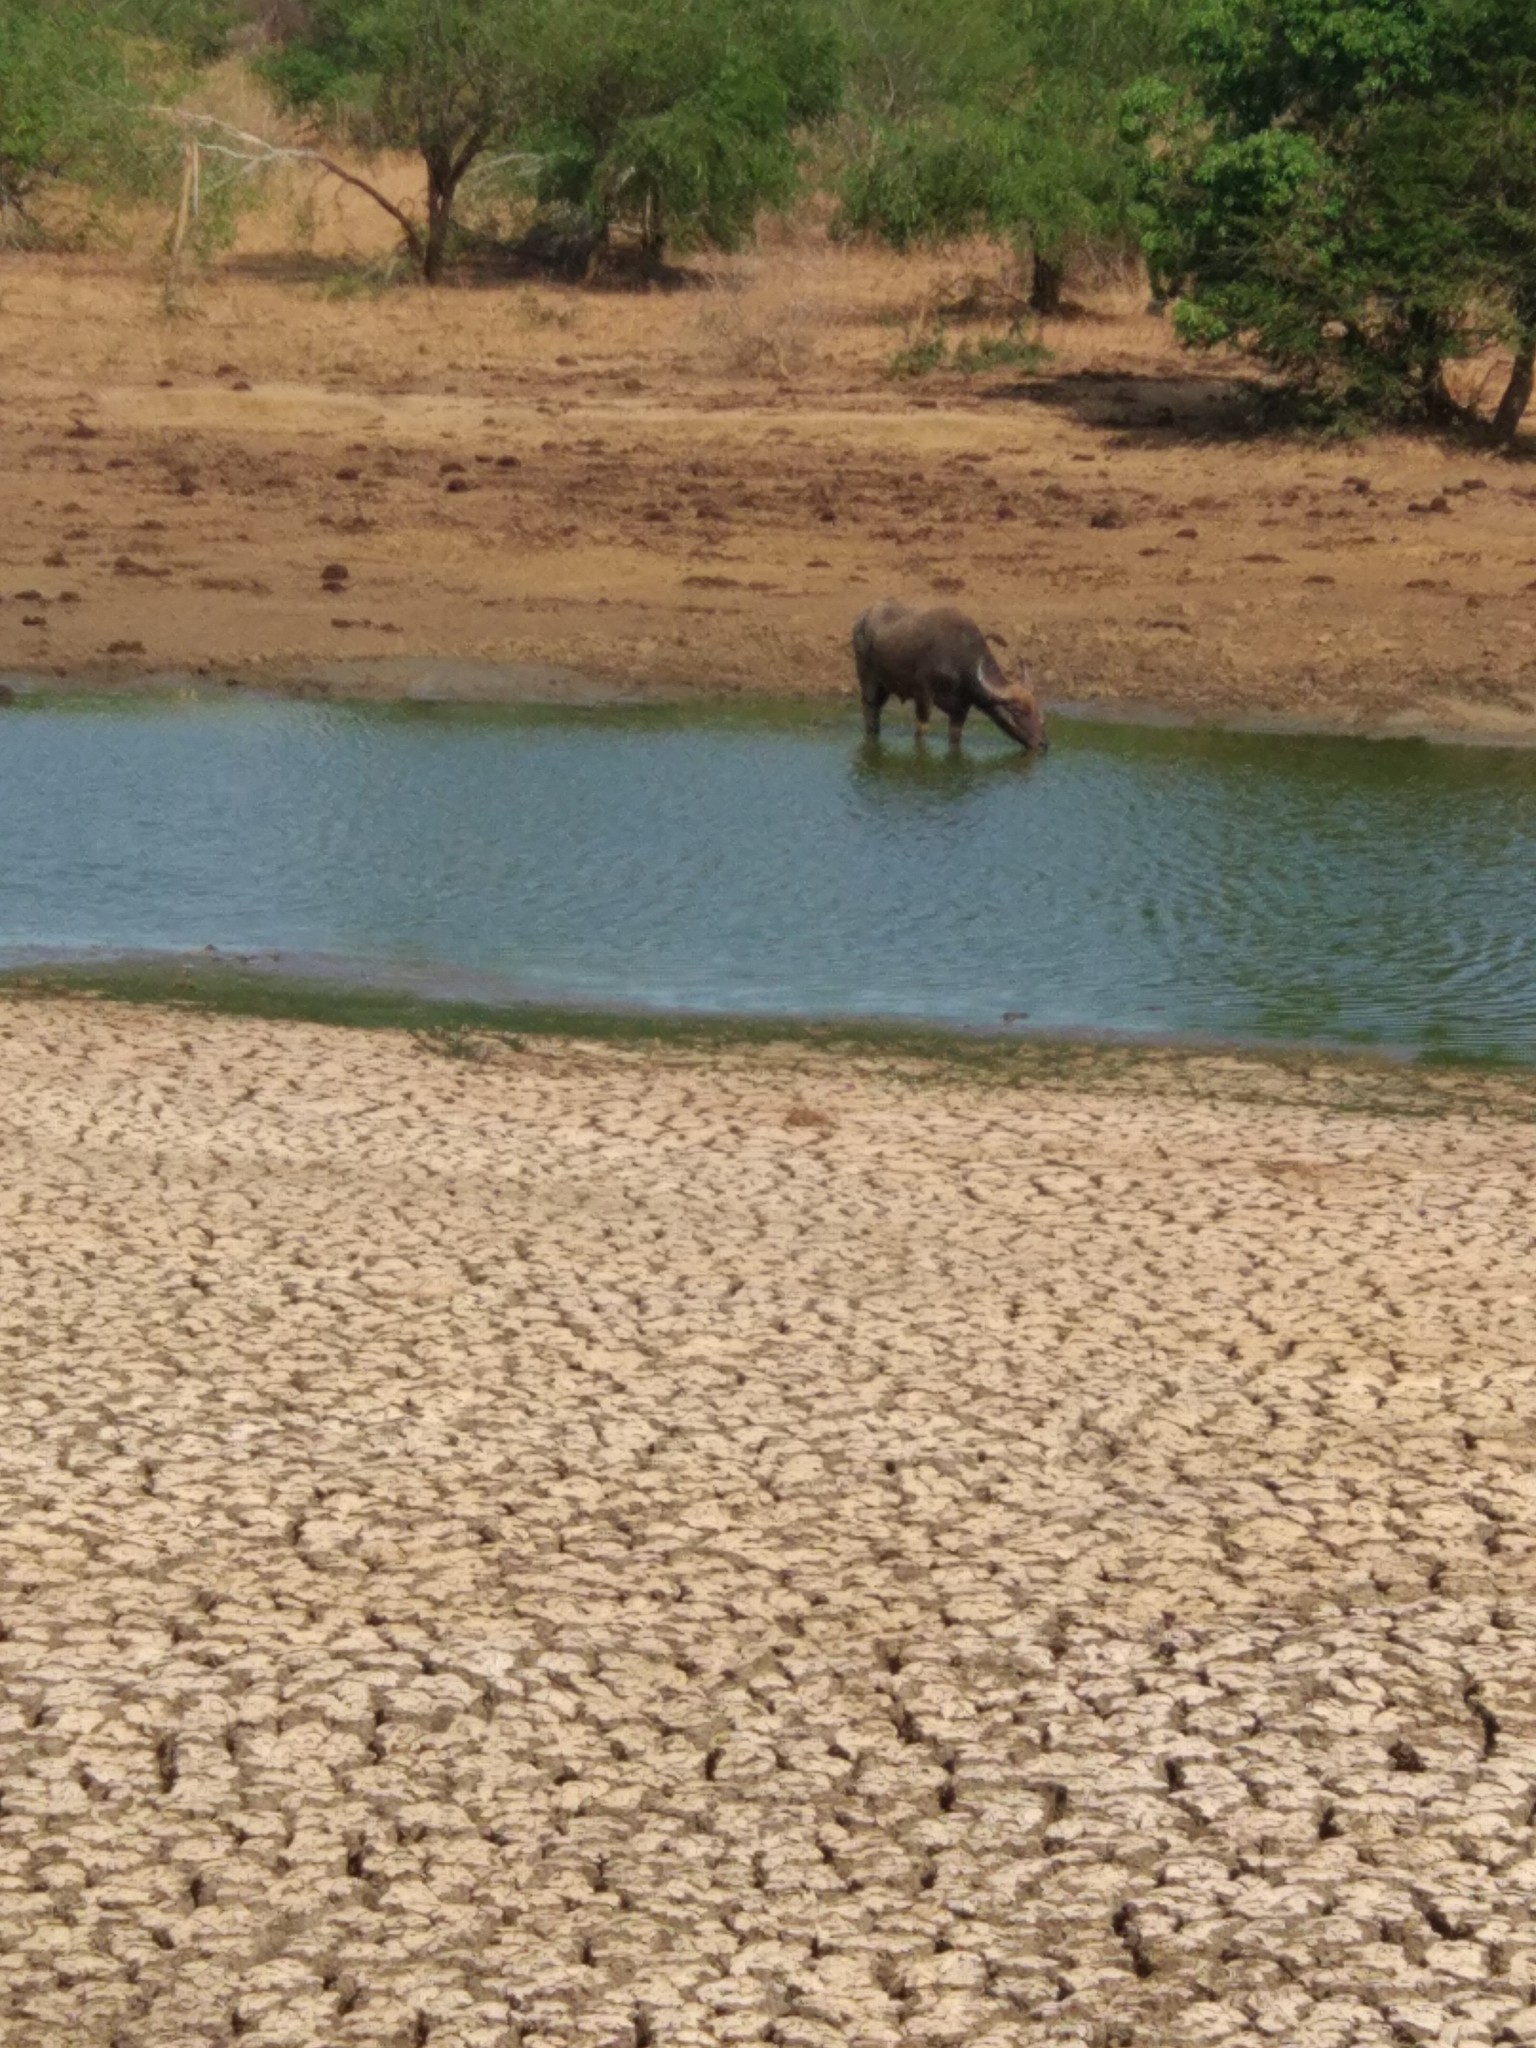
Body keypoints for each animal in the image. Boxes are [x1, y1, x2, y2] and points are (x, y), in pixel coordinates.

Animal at [847, 598, 1056, 753]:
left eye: (1037, 710)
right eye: (1017, 711)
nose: (1043, 744)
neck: (960, 660)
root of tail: (862, 618)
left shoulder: (960, 710)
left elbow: (955, 739)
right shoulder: (923, 696)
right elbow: (921, 732)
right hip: (868, 680)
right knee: (870, 711)